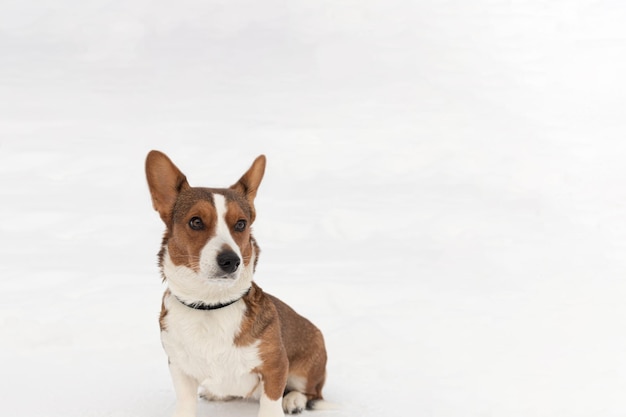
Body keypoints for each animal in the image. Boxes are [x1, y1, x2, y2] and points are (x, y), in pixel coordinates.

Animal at [145, 151, 326, 416]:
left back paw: (294, 400)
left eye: (241, 224)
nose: (230, 261)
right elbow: (186, 405)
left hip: (307, 369)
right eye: (196, 222)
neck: (210, 303)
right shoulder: (180, 369)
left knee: (312, 392)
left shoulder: (275, 367)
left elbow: (270, 406)